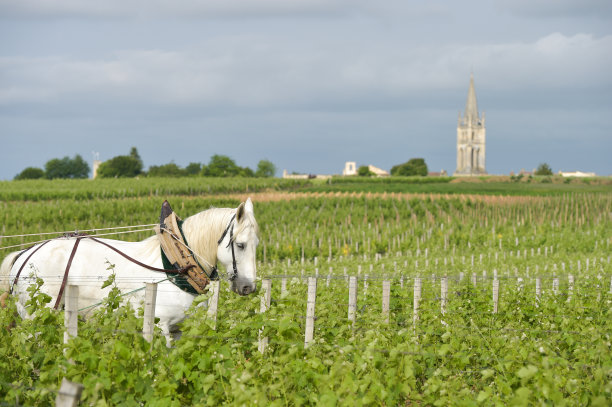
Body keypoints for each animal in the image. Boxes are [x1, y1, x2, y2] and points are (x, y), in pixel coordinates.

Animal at [0, 198, 260, 342]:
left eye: (256, 244)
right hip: (35, 315)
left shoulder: (177, 329)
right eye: (240, 245)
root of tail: (25, 254)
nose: (249, 287)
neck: (175, 266)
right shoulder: (160, 325)